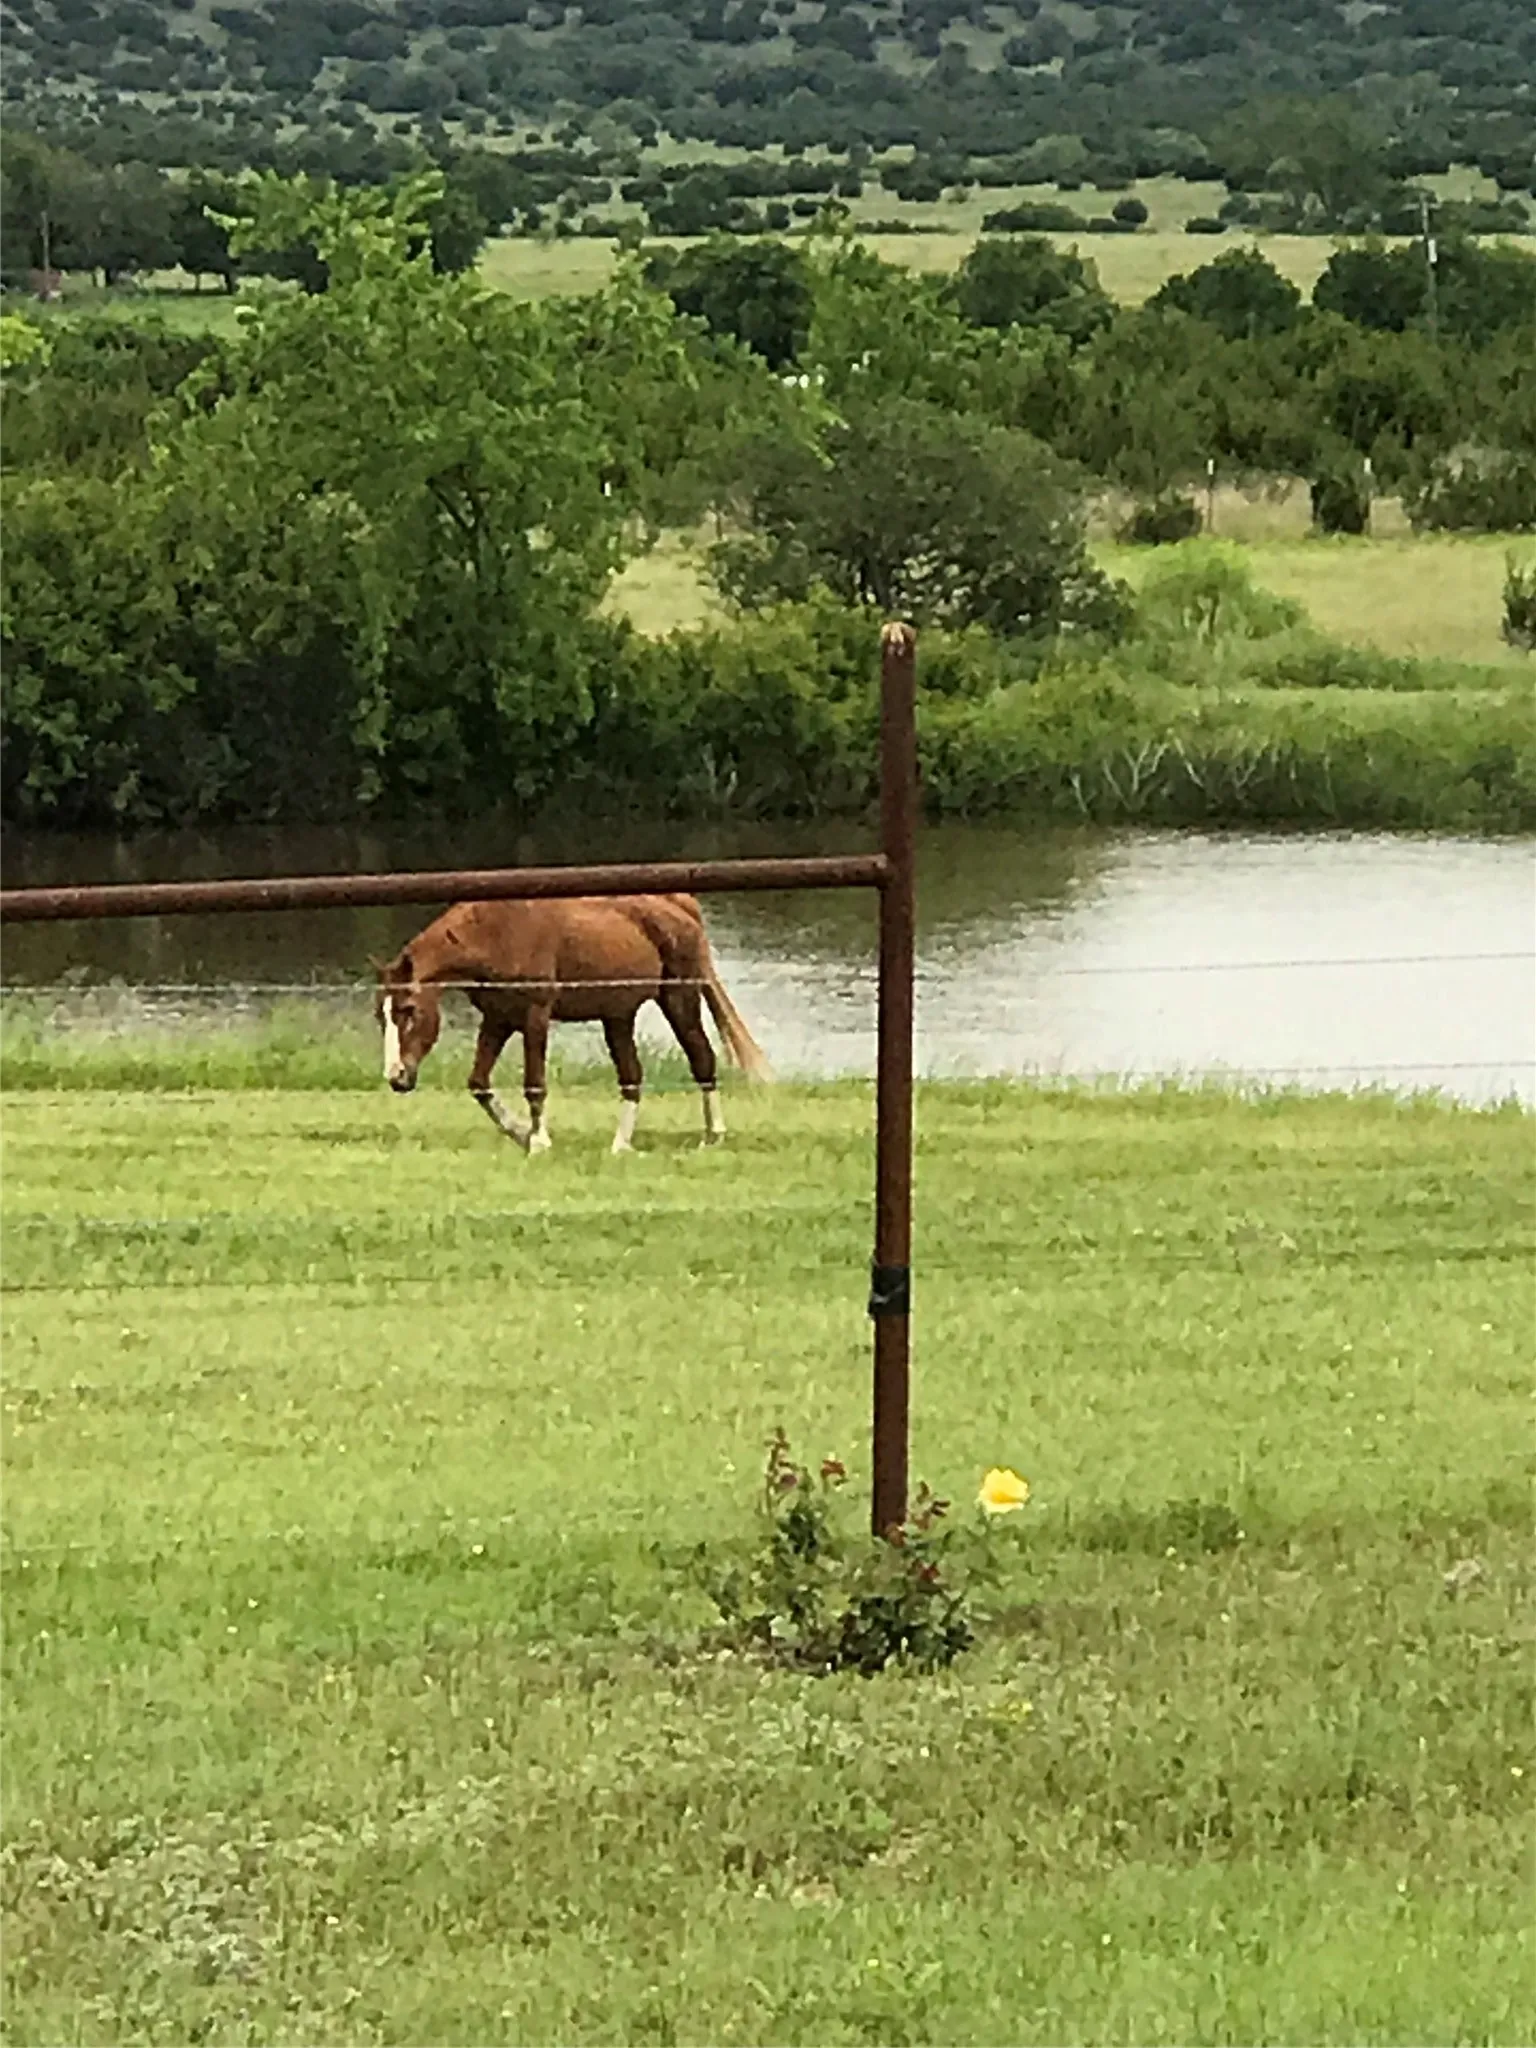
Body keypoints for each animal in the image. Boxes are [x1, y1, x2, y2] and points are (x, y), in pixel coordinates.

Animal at [373, 893, 770, 1155]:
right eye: (382, 1015)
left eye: (408, 1010)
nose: (397, 1077)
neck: (495, 932)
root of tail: (680, 907)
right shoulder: (498, 1019)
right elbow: (479, 1083)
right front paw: (521, 1132)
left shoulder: (535, 1016)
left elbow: (535, 1084)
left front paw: (539, 1141)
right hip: (618, 1017)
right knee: (632, 1076)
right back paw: (620, 1145)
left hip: (679, 1000)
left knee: (702, 1059)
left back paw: (713, 1135)